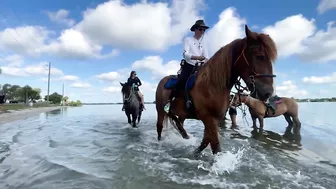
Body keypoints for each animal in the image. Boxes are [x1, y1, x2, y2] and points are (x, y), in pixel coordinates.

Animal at [155, 25, 278, 157]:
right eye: (260, 56)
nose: (268, 93)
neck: (212, 85)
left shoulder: (214, 120)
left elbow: (206, 141)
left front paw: (195, 152)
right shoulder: (208, 118)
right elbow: (215, 146)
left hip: (180, 114)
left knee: (178, 123)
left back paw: (185, 136)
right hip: (160, 111)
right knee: (159, 127)